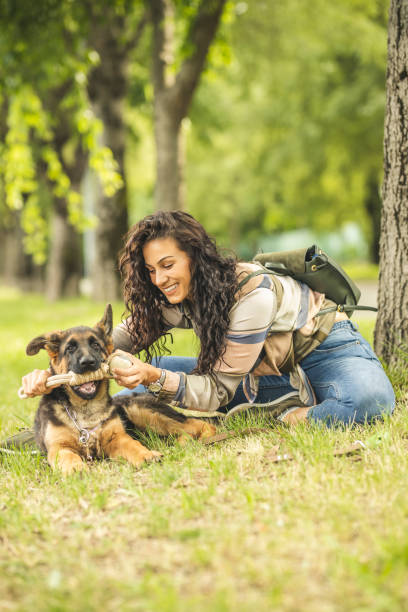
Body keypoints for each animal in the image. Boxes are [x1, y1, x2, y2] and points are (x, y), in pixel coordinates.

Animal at [27, 304, 215, 474]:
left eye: (96, 345)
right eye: (70, 348)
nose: (88, 362)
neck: (86, 409)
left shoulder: (118, 438)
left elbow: (133, 445)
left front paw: (146, 455)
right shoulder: (58, 447)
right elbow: (67, 456)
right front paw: (75, 468)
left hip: (142, 411)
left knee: (199, 424)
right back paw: (181, 442)